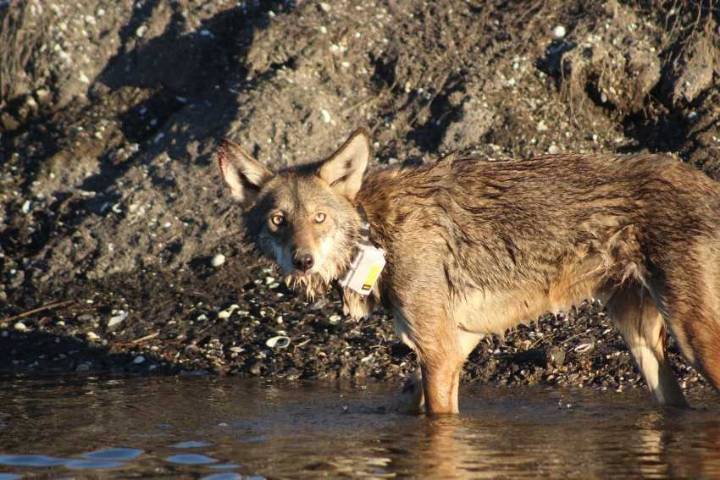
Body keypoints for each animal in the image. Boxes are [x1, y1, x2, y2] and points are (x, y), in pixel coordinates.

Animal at [217, 128, 720, 414]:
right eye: (278, 220)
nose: (302, 261)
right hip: (642, 341)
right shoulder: (449, 349)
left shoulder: (439, 353)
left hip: (694, 340)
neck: (377, 234)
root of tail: (707, 181)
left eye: (319, 218)